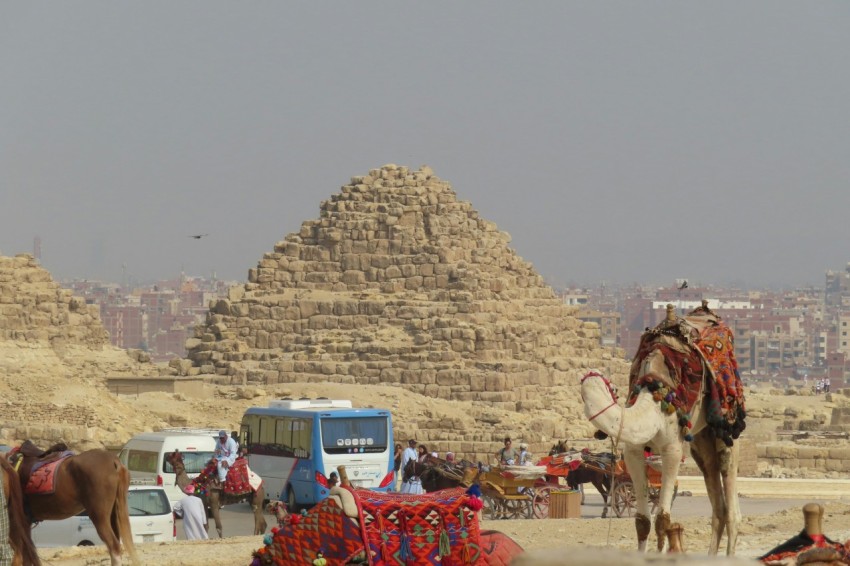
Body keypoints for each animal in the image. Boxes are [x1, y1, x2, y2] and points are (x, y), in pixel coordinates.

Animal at [580, 312, 740, 556]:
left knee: (730, 494)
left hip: (726, 425)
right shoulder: (633, 453)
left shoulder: (671, 449)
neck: (653, 397)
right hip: (701, 438)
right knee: (713, 484)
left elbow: (663, 520)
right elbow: (642, 521)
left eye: (612, 386)